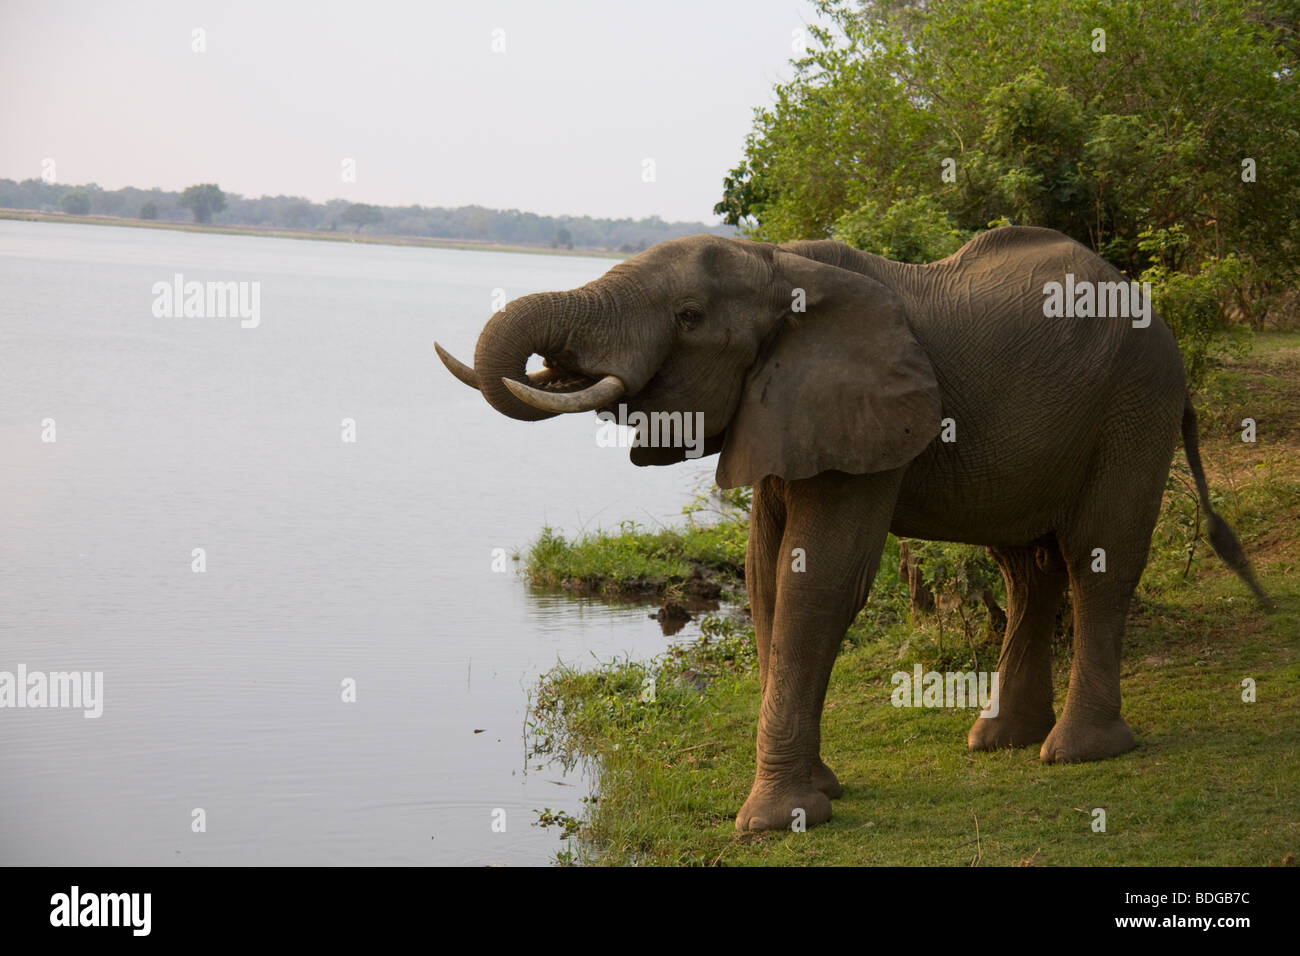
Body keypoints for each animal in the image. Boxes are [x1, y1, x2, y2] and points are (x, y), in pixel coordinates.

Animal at [431, 223, 1263, 832]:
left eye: (689, 319)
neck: (778, 264)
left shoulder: (861, 408)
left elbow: (821, 575)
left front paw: (773, 823)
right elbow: (766, 576)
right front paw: (821, 793)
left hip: (1137, 401)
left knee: (1099, 557)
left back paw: (1077, 755)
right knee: (1027, 567)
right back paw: (1001, 738)